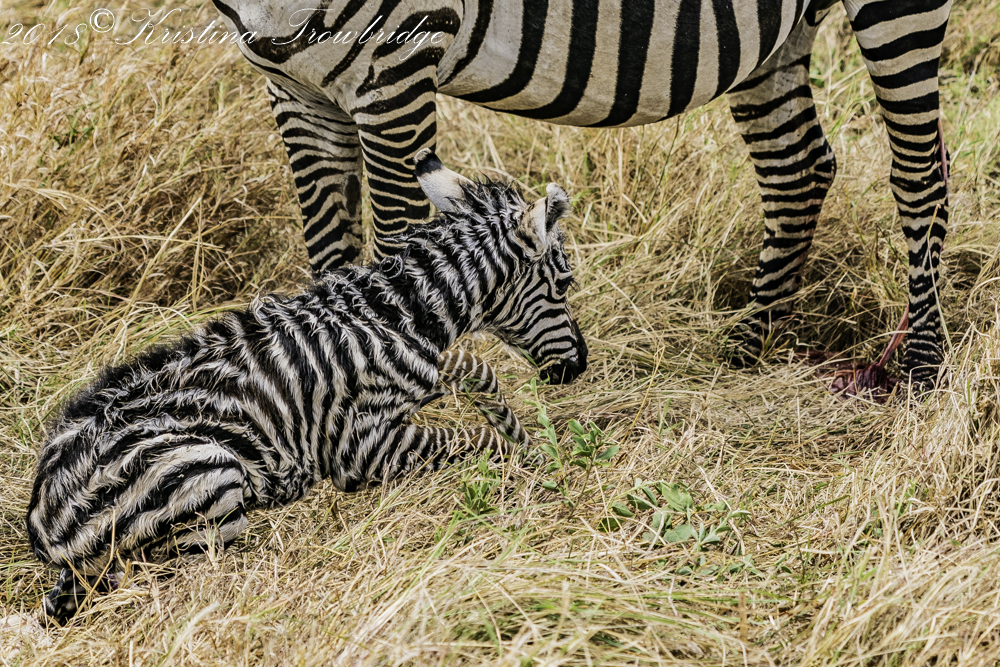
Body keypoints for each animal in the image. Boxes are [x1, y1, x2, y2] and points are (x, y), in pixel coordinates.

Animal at [26, 150, 587, 623]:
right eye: (564, 284)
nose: (578, 368)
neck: (399, 316)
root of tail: (45, 524)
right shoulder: (361, 449)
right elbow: (472, 440)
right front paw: (534, 460)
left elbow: (474, 371)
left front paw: (529, 439)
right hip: (208, 477)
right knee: (176, 584)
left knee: (68, 605)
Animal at [210, 0, 953, 384]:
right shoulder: (293, 83)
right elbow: (328, 255)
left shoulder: (395, 62)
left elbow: (395, 245)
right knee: (797, 168)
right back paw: (749, 346)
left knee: (923, 170)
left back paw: (921, 367)